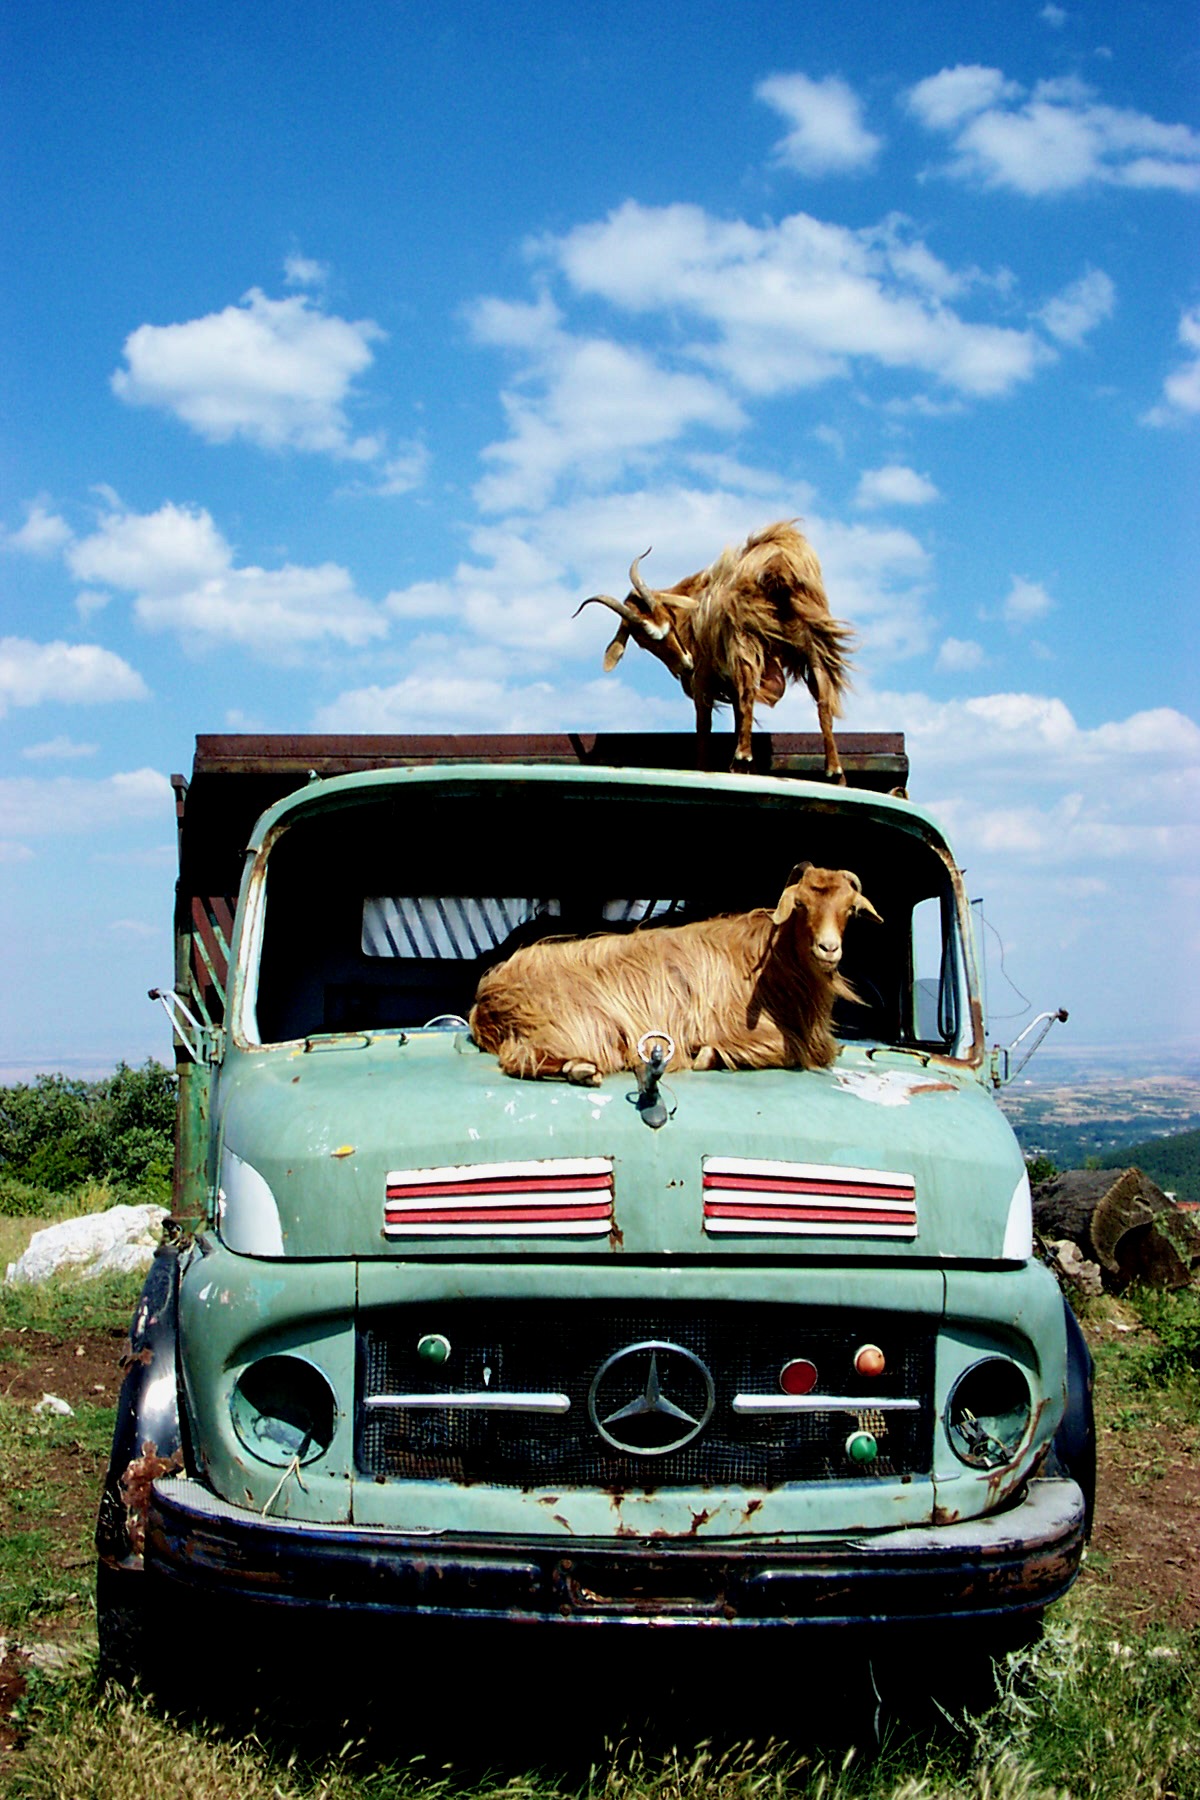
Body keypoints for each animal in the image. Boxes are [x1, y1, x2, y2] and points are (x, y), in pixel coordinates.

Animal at [469, 864, 882, 1085]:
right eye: (800, 905)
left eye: (850, 909)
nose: (828, 949)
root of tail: (485, 999)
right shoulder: (727, 1025)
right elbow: (790, 1049)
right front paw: (707, 1055)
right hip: (575, 1023)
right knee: (521, 1059)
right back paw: (580, 1069)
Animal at [576, 521, 854, 779]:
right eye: (643, 641)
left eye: (668, 620)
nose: (685, 663)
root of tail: (778, 566)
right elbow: (737, 715)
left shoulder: (704, 679)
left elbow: (704, 722)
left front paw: (705, 767)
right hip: (814, 642)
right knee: (823, 703)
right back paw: (834, 771)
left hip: (744, 636)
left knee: (749, 691)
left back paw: (742, 757)